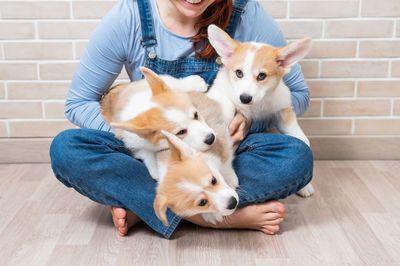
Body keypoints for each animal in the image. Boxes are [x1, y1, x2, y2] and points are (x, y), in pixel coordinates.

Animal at [206, 25, 316, 197]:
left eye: (262, 76)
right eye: (239, 73)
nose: (245, 98)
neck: (253, 107)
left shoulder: (283, 108)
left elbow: (302, 140)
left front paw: (306, 185)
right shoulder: (219, 99)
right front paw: (229, 177)